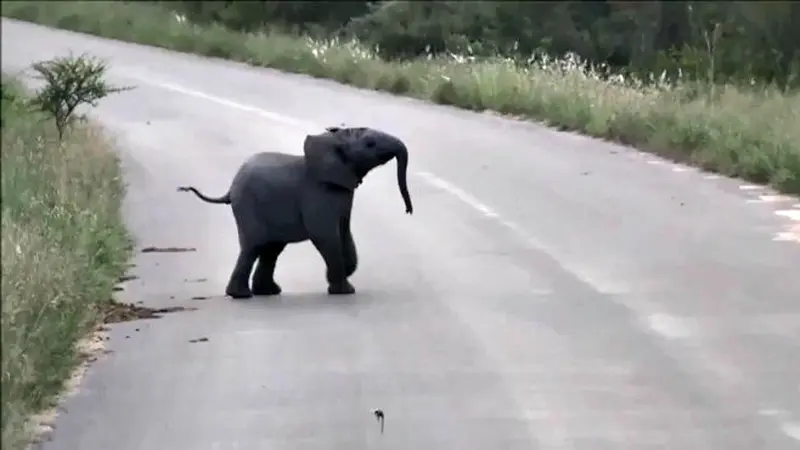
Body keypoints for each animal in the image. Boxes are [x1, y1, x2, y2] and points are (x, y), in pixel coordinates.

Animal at [175, 125, 412, 298]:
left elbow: (344, 233)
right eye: (370, 144)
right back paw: (242, 295)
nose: (408, 210)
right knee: (254, 246)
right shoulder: (318, 194)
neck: (333, 140)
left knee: (271, 249)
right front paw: (344, 291)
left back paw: (268, 292)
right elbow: (325, 235)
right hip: (248, 205)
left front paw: (346, 274)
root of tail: (231, 188)